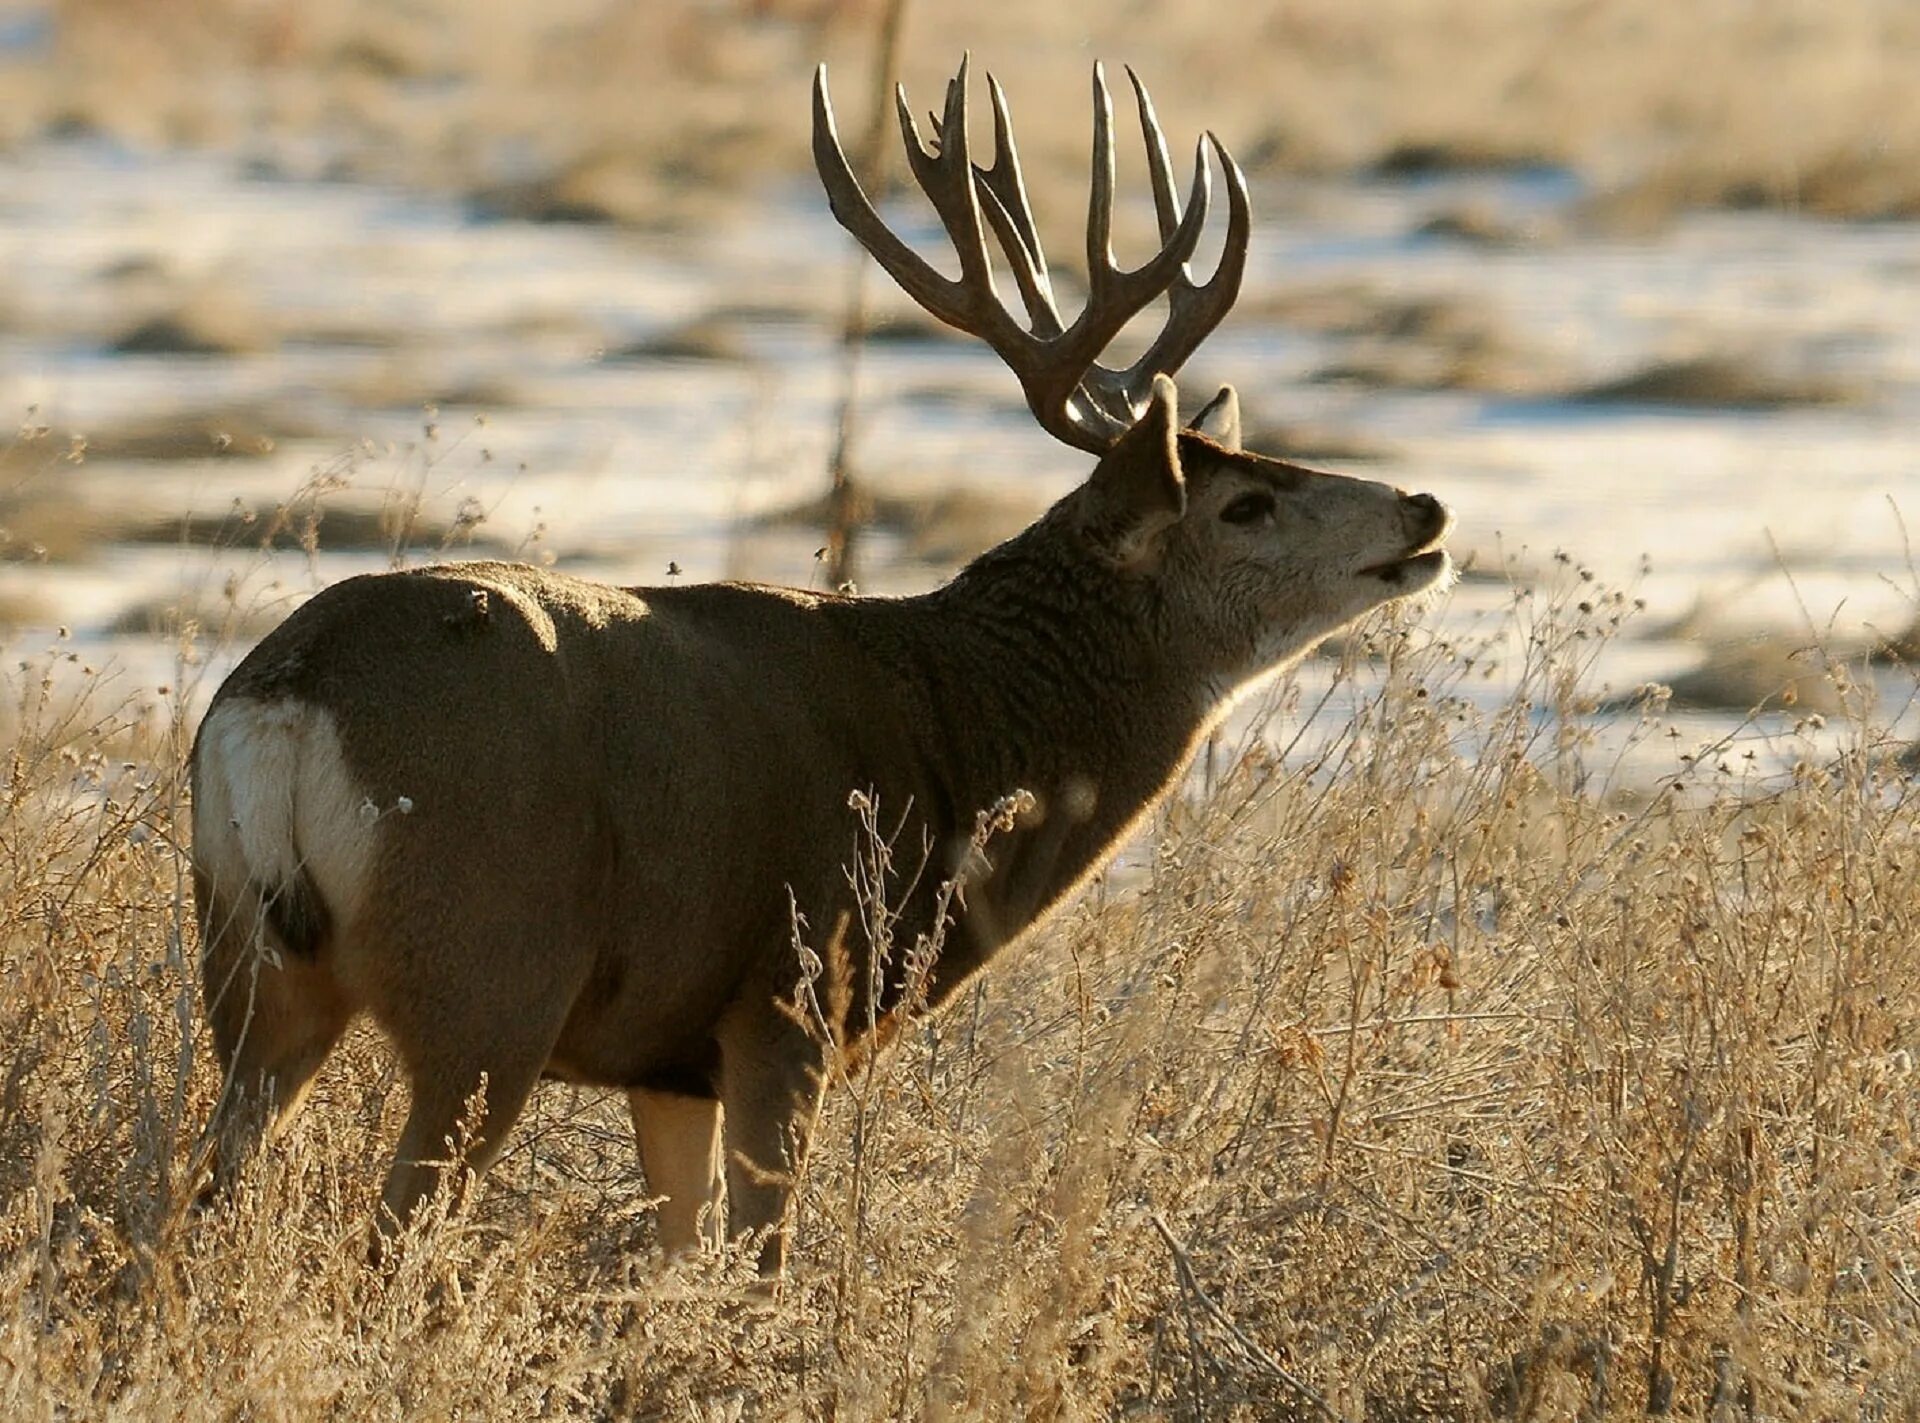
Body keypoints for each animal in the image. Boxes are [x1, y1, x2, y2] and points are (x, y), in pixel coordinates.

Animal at [194, 55, 1451, 1275]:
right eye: (1246, 504)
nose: (1425, 505)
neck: (958, 727)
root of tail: (288, 698)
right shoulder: (786, 999)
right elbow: (759, 1265)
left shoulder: (667, 1056)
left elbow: (677, 1260)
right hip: (489, 973)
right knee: (387, 1231)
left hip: (248, 967)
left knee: (193, 1196)